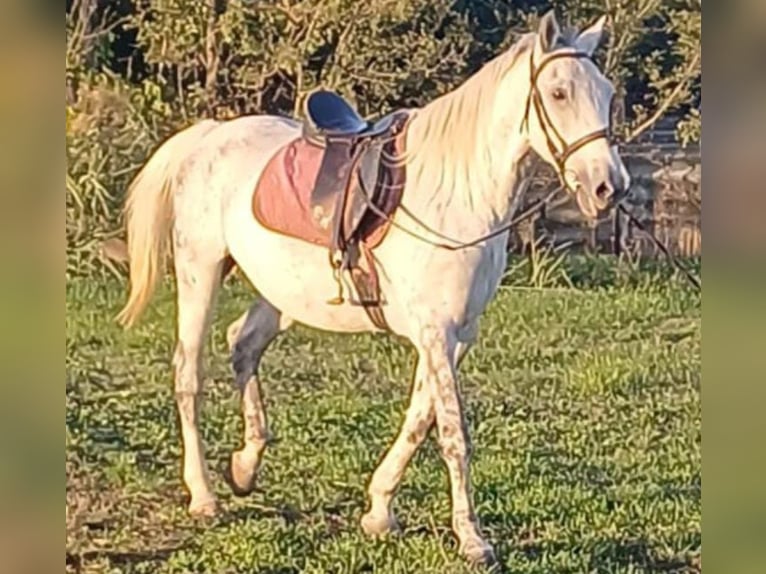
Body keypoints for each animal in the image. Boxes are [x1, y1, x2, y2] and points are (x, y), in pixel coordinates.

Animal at [115, 11, 632, 568]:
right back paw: (204, 495)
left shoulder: (455, 336)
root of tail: (208, 137)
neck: (456, 195)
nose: (609, 187)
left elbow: (420, 419)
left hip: (279, 294)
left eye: (606, 92)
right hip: (200, 273)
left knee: (242, 345)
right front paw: (472, 539)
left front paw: (380, 510)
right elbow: (453, 434)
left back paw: (245, 467)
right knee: (189, 374)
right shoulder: (436, 333)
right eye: (558, 92)